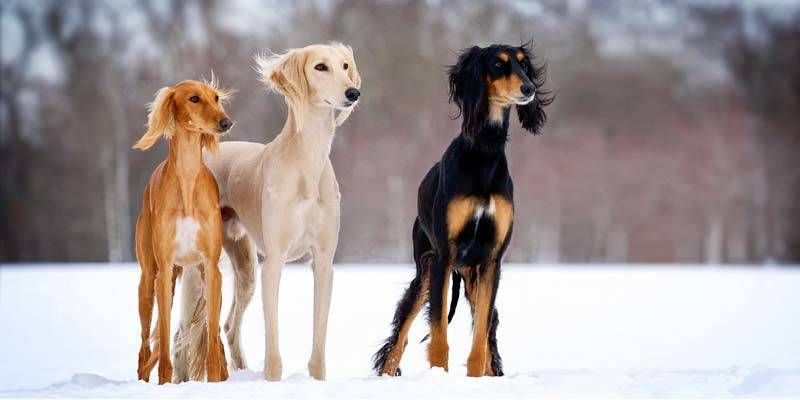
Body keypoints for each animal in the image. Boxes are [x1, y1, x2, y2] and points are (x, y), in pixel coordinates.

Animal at [183, 43, 360, 382]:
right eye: (320, 67)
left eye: (345, 66)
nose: (353, 92)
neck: (307, 160)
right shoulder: (275, 261)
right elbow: (273, 339)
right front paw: (272, 379)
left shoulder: (323, 262)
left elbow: (319, 339)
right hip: (202, 268)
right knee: (184, 333)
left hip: (245, 266)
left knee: (229, 325)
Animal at [374, 44, 552, 378]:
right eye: (498, 64)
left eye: (524, 66)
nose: (529, 89)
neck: (484, 151)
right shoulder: (444, 255)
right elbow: (438, 332)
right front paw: (439, 375)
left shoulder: (492, 260)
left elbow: (481, 334)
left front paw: (475, 375)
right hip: (426, 269)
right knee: (399, 336)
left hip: (470, 276)